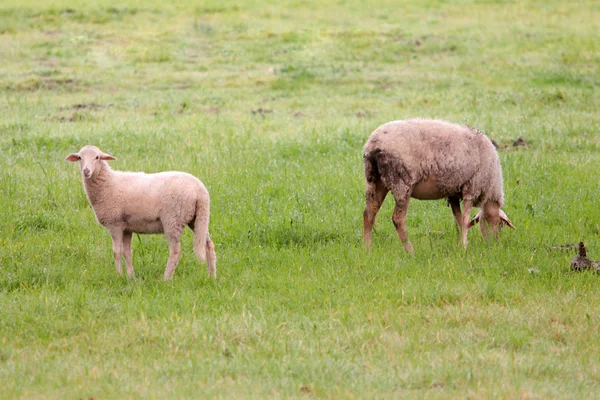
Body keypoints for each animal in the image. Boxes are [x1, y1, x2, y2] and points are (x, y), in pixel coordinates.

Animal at [66, 145, 216, 280]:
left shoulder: (115, 224)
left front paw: (119, 276)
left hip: (173, 219)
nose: (86, 171)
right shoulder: (127, 227)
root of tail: (200, 191)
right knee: (208, 244)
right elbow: (127, 253)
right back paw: (211, 276)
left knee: (175, 251)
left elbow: (117, 252)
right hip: (198, 218)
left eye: (97, 157)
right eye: (80, 158)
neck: (107, 183)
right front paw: (131, 277)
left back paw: (166, 278)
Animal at [364, 117, 512, 253]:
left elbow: (458, 221)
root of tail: (373, 143)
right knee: (397, 219)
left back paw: (368, 248)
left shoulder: (453, 192)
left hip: (375, 180)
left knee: (369, 213)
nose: (493, 245)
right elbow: (465, 220)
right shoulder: (472, 187)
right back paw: (410, 251)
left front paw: (459, 245)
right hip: (401, 182)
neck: (491, 186)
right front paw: (464, 247)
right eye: (501, 225)